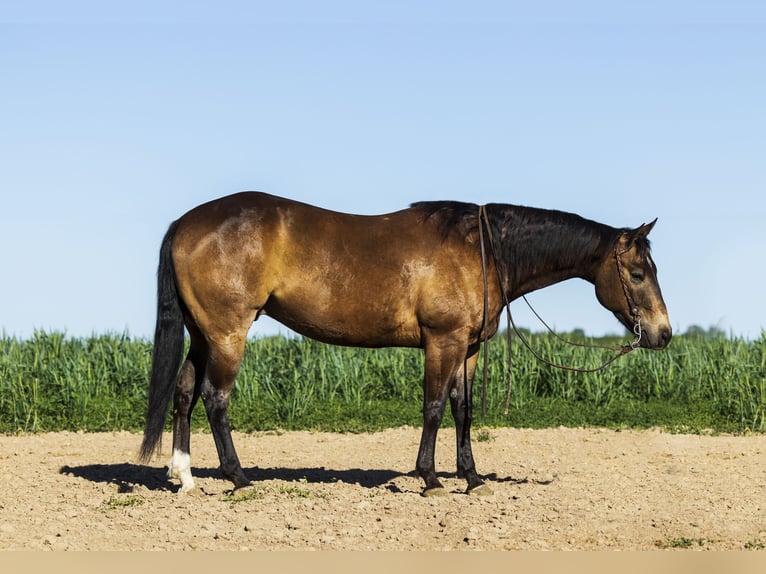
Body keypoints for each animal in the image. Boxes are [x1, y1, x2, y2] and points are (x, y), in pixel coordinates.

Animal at [138, 194, 672, 500]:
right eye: (637, 274)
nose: (663, 333)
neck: (482, 250)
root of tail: (185, 223)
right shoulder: (443, 342)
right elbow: (433, 407)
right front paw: (430, 479)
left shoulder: (468, 350)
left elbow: (462, 410)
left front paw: (472, 478)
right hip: (228, 333)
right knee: (215, 399)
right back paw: (239, 479)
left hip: (204, 334)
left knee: (184, 393)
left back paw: (185, 477)